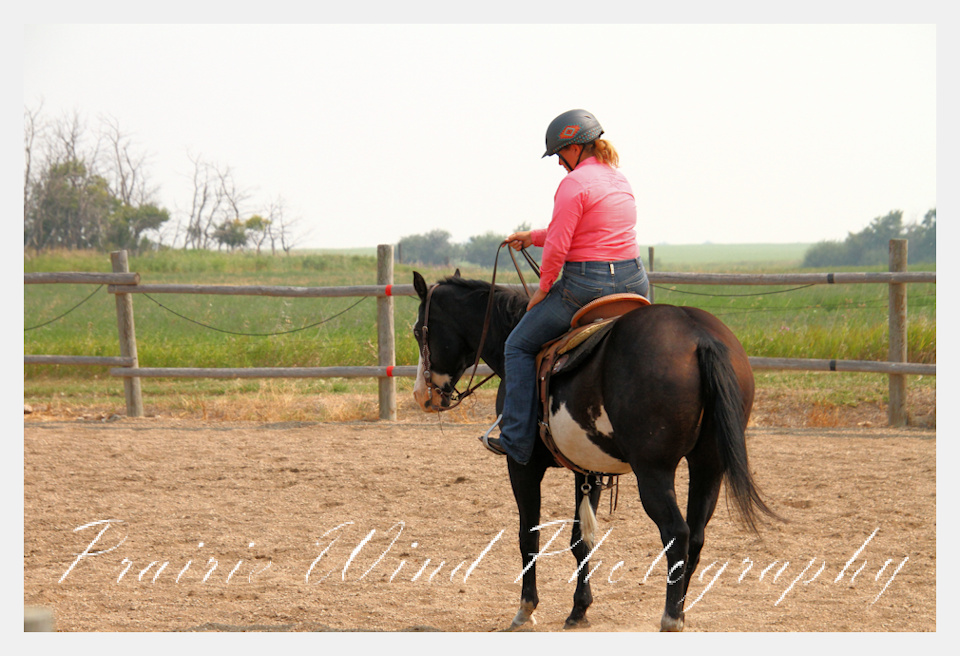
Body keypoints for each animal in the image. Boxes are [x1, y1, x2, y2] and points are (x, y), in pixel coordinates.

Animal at [411, 270, 776, 632]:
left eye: (417, 330)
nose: (422, 395)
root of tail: (698, 334)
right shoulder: (589, 469)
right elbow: (580, 539)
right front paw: (579, 609)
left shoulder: (522, 465)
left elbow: (528, 536)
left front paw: (526, 609)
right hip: (708, 464)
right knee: (697, 536)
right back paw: (681, 611)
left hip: (653, 471)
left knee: (678, 533)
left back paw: (670, 618)